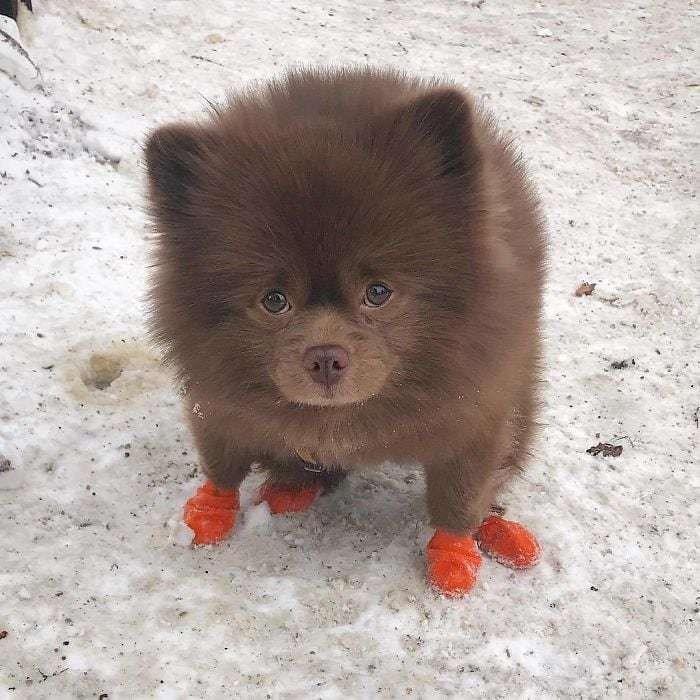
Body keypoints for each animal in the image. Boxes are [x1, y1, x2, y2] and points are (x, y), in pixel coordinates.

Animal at [144, 68, 548, 596]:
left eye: (378, 292)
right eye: (274, 300)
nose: (325, 357)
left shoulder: (476, 414)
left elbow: (462, 492)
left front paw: (454, 553)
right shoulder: (216, 402)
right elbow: (221, 464)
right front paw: (211, 509)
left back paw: (498, 530)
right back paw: (295, 485)